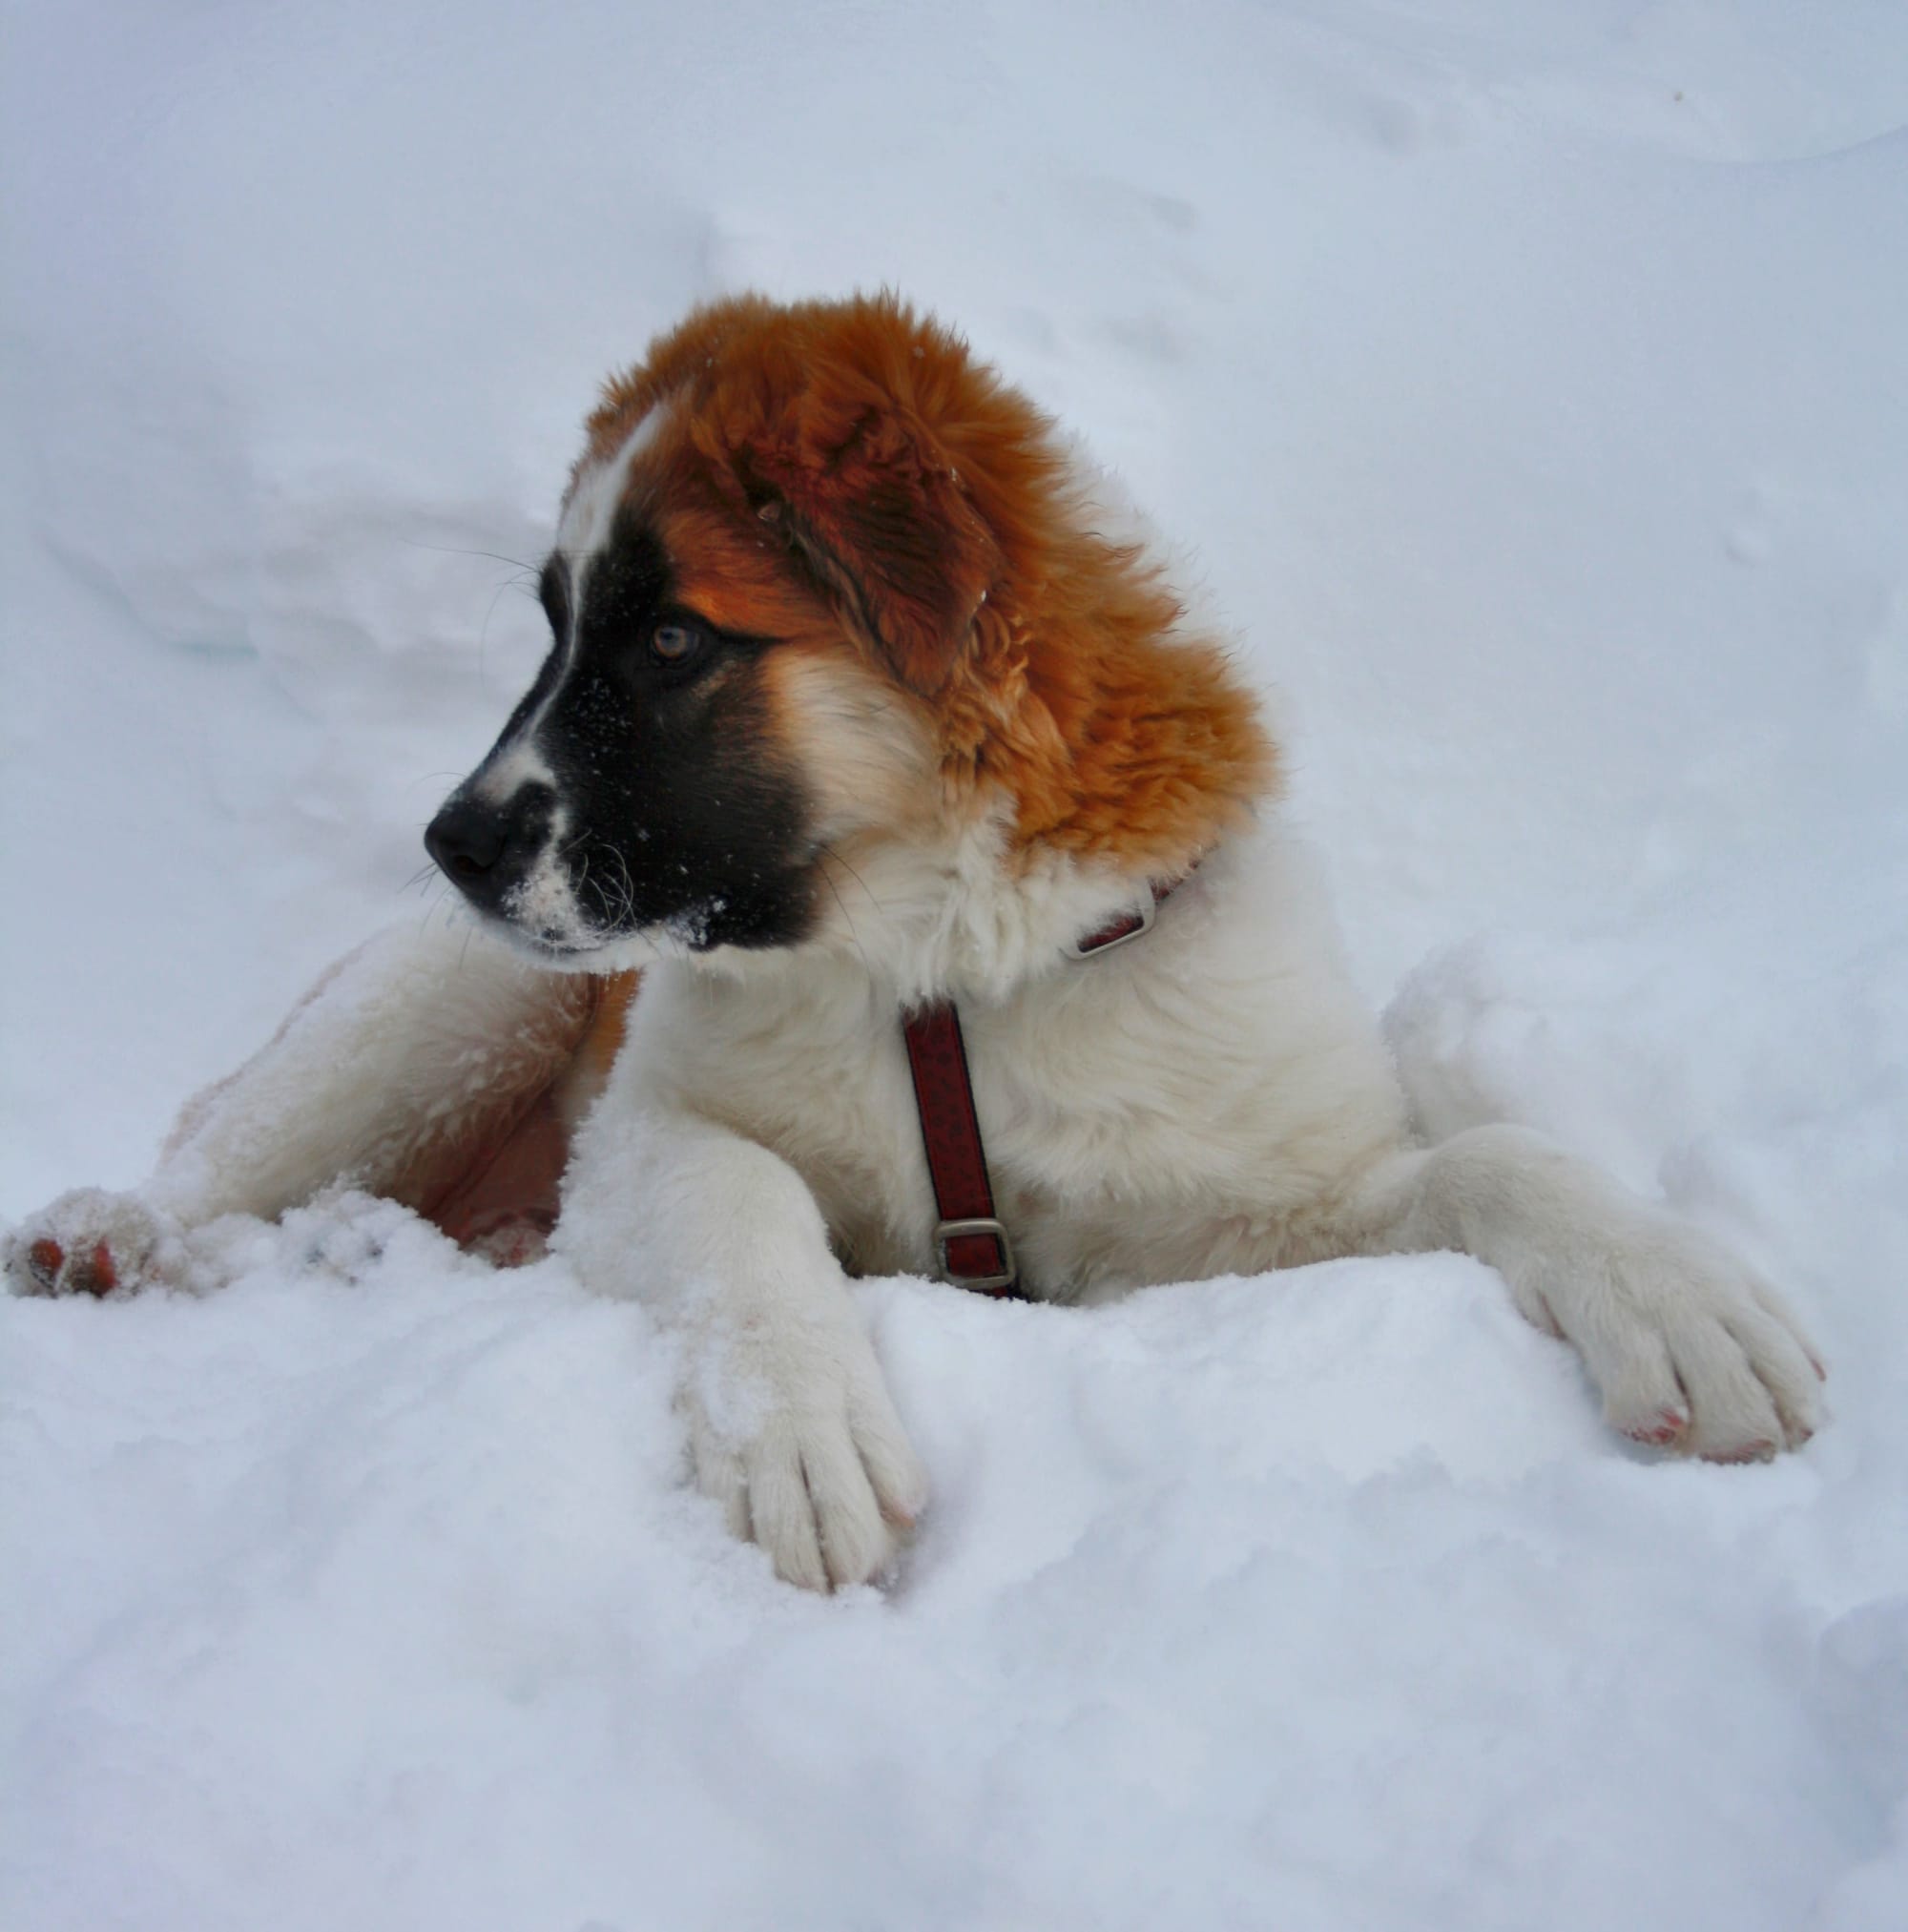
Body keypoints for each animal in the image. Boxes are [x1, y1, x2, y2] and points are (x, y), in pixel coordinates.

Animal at [3, 285, 1815, 1584]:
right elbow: (744, 1202)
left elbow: (1492, 1155)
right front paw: (799, 1436)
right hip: (448, 1011)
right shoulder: (645, 1128)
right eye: (555, 628)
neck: (934, 975)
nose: (445, 843)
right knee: (232, 1145)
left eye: (672, 639)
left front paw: (1678, 1294)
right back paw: (117, 1236)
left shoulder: (1216, 1218)